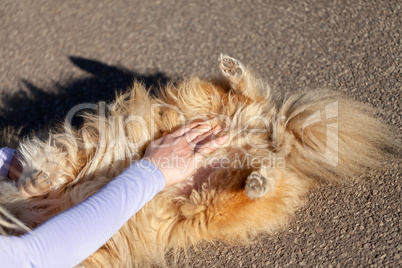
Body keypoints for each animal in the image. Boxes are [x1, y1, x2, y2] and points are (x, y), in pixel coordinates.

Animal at [0, 54, 396, 266]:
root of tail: (267, 135)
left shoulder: (66, 164)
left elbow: (45, 166)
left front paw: (32, 180)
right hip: (212, 203)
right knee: (266, 173)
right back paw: (258, 178)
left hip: (200, 105)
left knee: (249, 95)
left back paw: (233, 71)